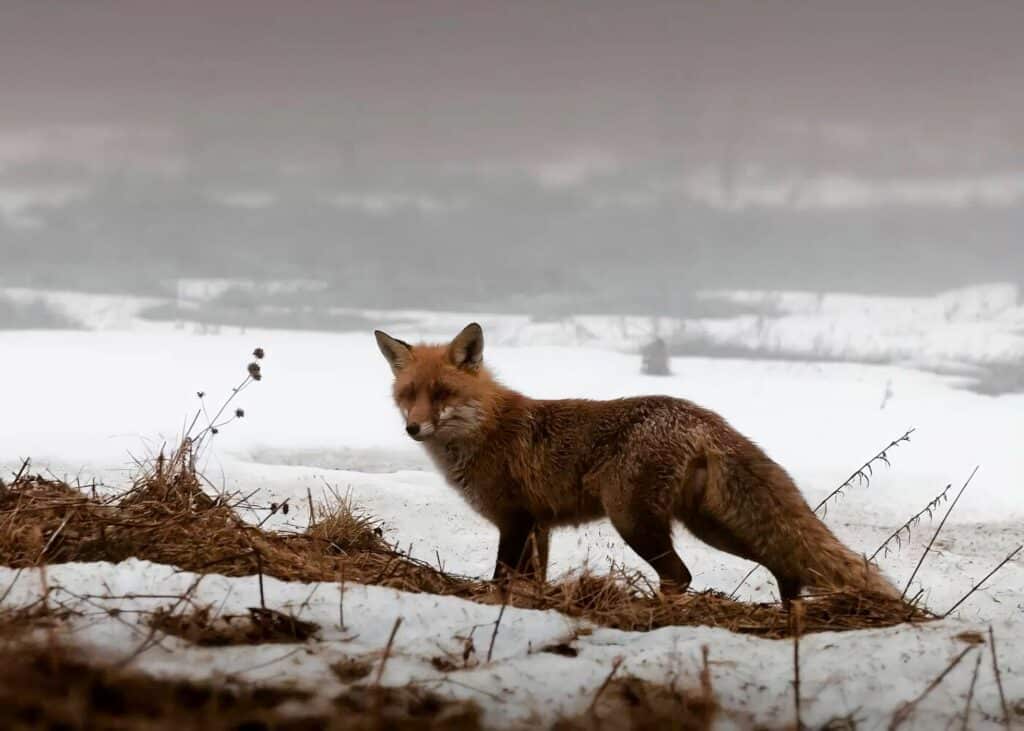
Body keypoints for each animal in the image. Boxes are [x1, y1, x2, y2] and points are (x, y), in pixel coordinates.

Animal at [372, 321, 892, 602]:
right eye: (408, 395)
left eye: (443, 393)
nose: (413, 428)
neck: (484, 429)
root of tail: (700, 415)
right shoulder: (539, 526)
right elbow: (532, 581)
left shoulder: (514, 520)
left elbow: (501, 578)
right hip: (709, 524)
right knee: (781, 560)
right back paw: (790, 609)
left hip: (633, 519)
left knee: (681, 575)